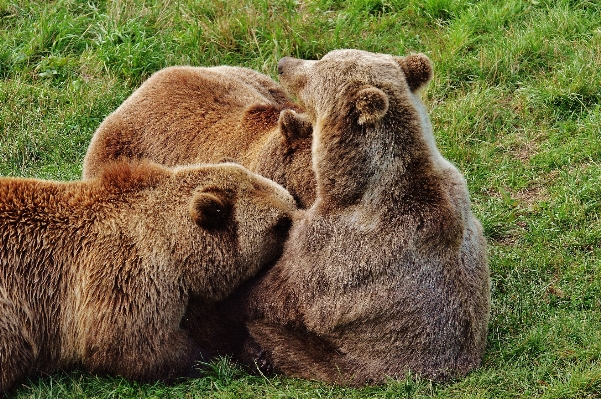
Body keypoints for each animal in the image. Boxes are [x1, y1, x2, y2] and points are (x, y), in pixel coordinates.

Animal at [0, 161, 296, 396]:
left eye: (290, 201)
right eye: (281, 223)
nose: (299, 219)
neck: (178, 250)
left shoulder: (189, 292)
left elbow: (212, 324)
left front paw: (257, 352)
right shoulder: (128, 272)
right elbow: (132, 342)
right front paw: (209, 358)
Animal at [241, 48, 490, 386]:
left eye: (316, 68)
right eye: (322, 58)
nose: (283, 64)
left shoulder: (334, 249)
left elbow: (281, 295)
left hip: (349, 362)